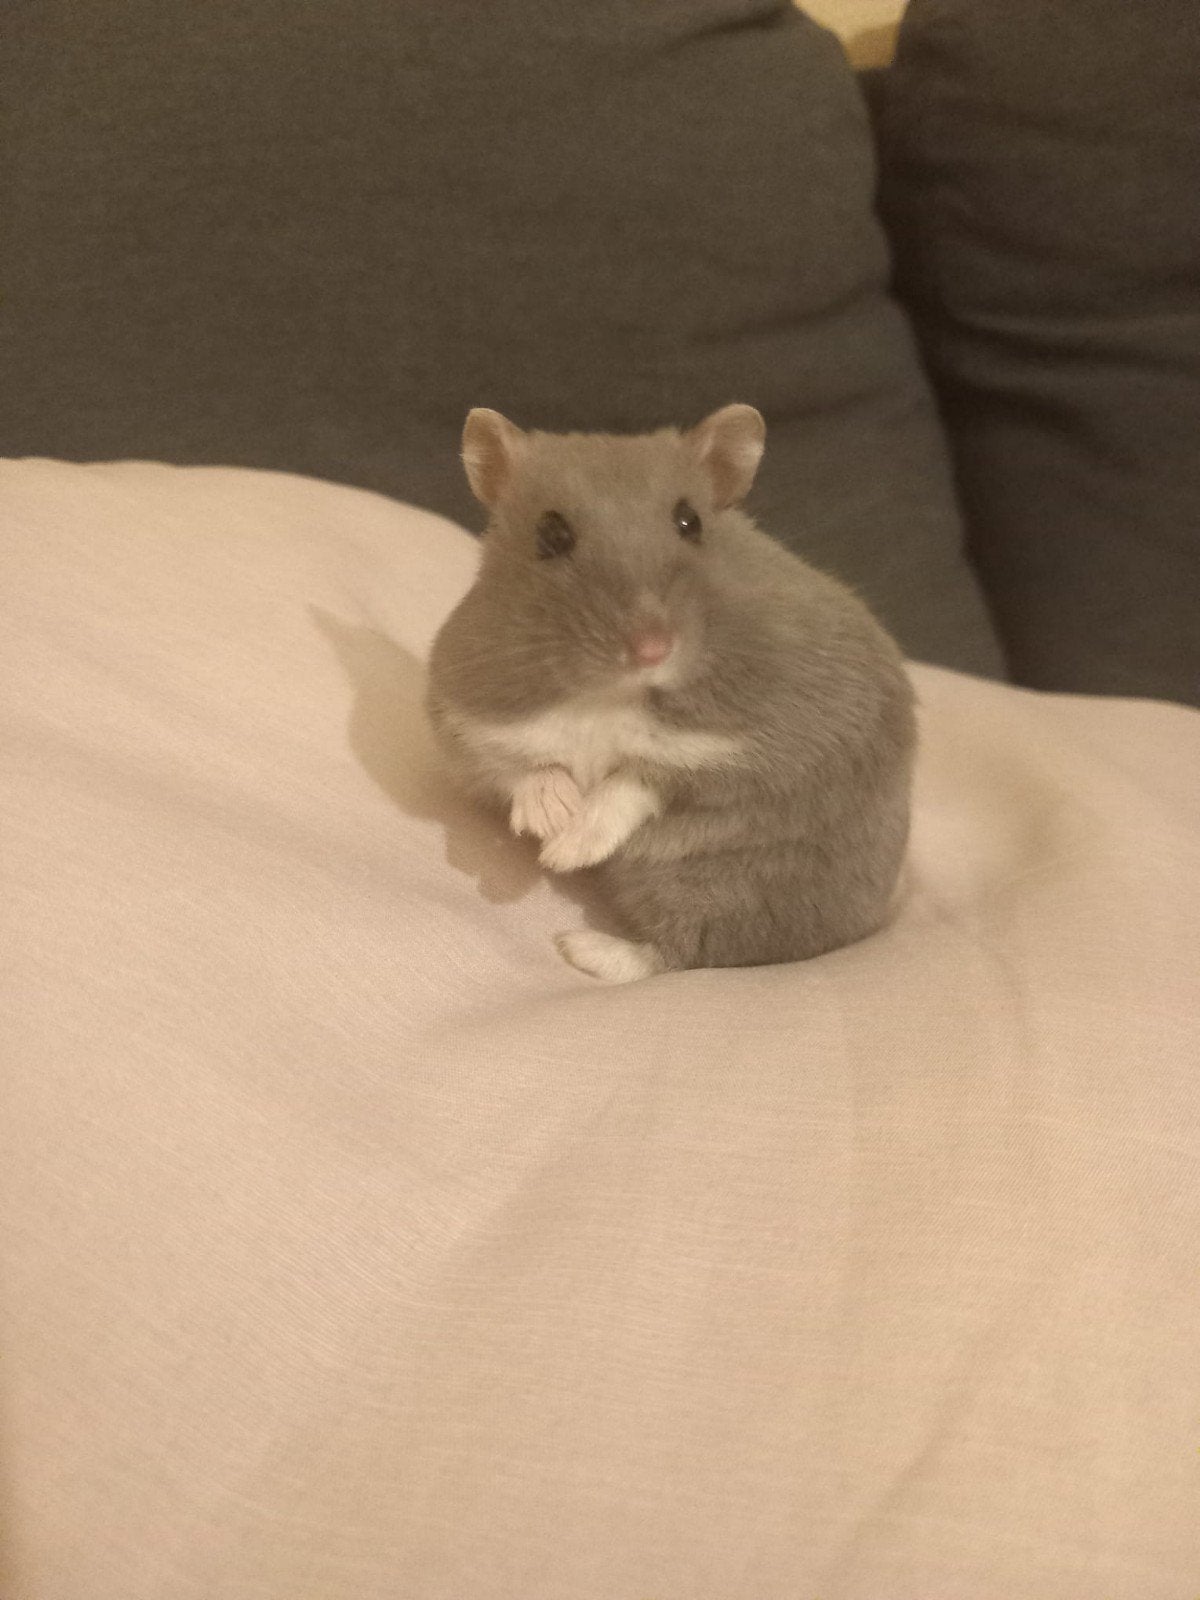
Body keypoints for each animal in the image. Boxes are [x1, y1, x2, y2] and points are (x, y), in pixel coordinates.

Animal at [425, 404, 917, 983]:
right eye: (551, 533)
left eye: (691, 523)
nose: (653, 649)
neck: (609, 692)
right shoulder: (461, 724)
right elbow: (521, 770)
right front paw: (552, 824)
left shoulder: (765, 752)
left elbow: (637, 780)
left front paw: (567, 851)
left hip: (727, 888)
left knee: (678, 955)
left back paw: (578, 947)